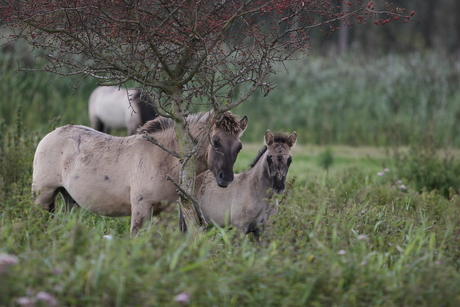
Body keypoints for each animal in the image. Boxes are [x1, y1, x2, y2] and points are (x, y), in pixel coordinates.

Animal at [32, 112, 248, 235]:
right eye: (216, 142)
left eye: (239, 146)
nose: (226, 178)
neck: (164, 158)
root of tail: (49, 135)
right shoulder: (140, 209)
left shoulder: (166, 212)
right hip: (43, 196)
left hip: (70, 200)